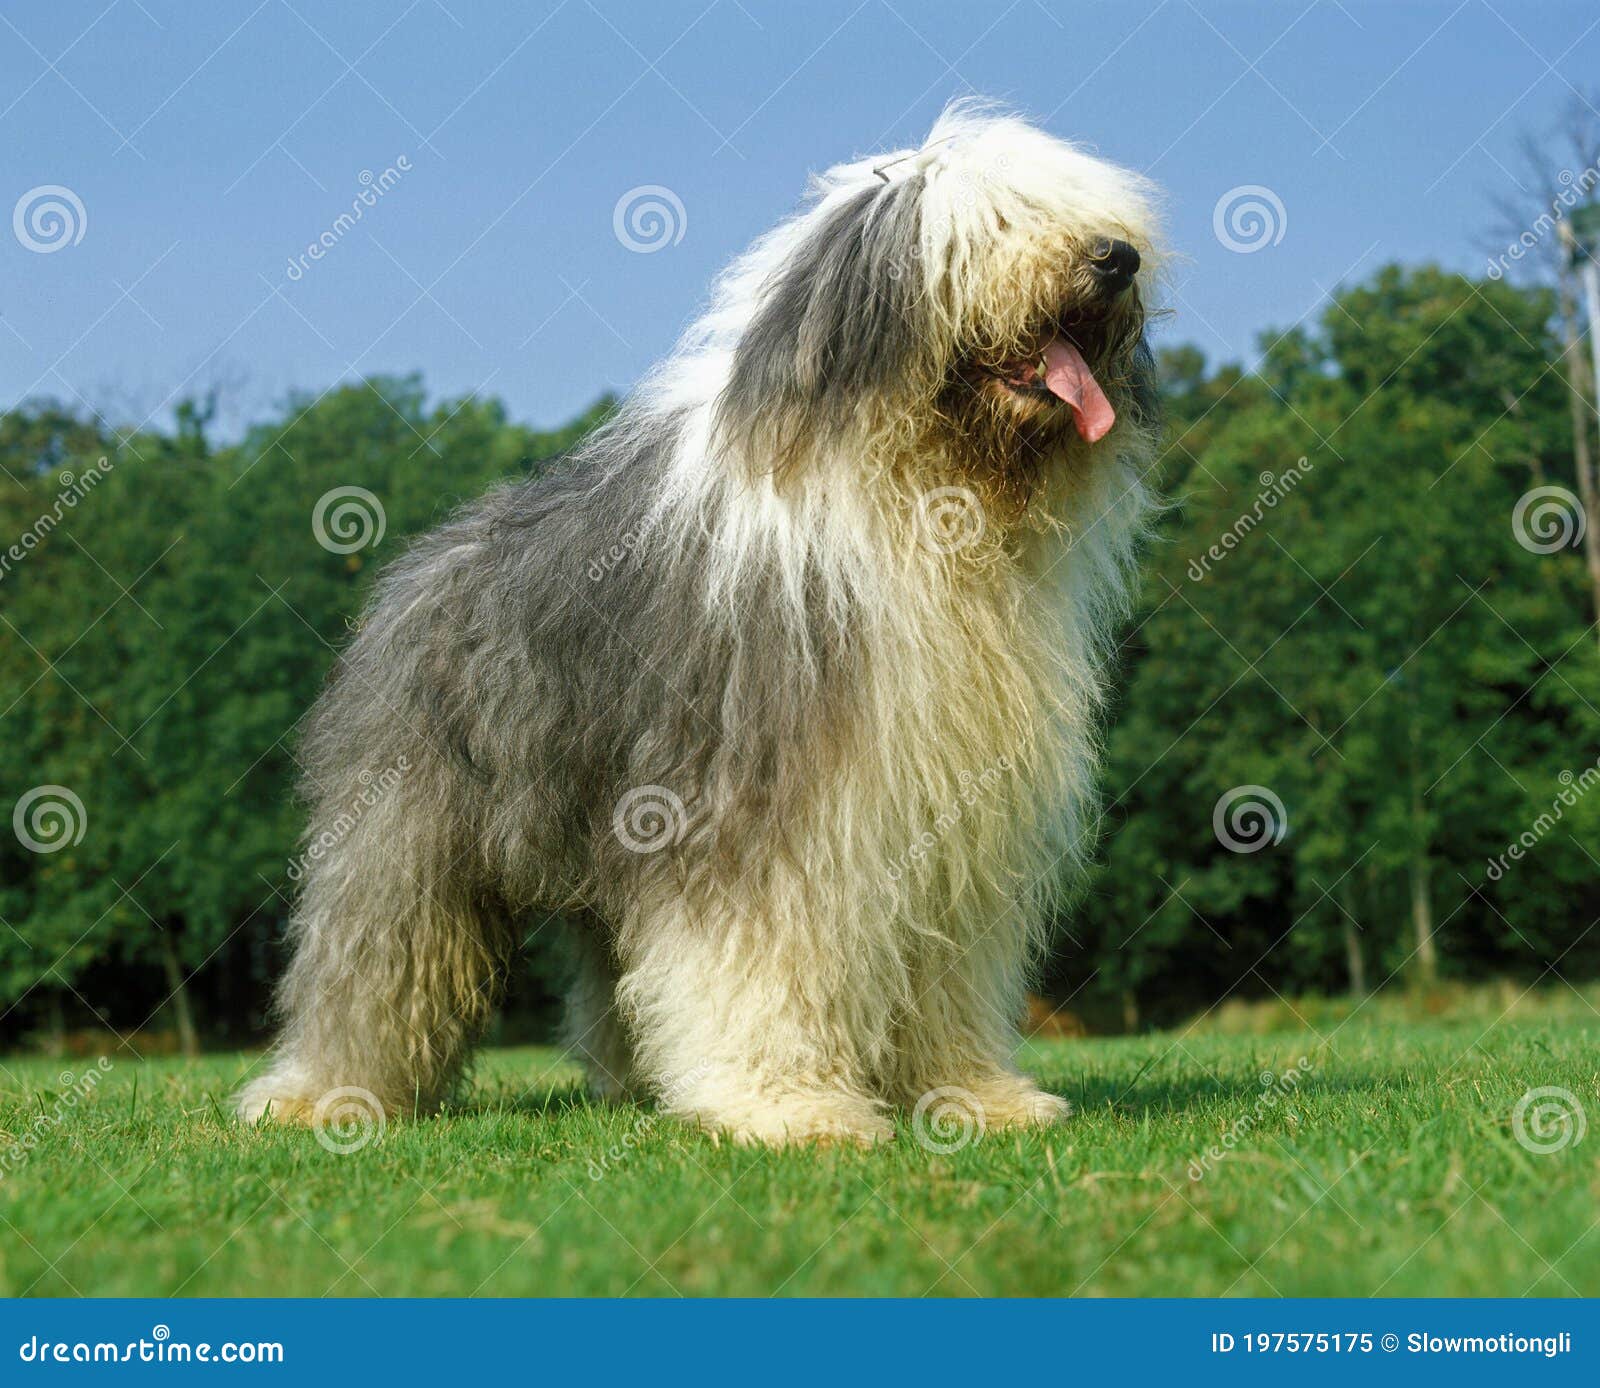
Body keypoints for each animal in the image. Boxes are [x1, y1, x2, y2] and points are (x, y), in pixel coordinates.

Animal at [240, 105, 1164, 1151]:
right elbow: (763, 960)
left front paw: (977, 1096)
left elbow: (944, 970)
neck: (919, 498)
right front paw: (788, 1106)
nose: (1117, 257)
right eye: (996, 221)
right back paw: (323, 1092)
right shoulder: (760, 803)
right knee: (373, 957)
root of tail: (418, 566)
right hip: (408, 828)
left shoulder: (951, 813)